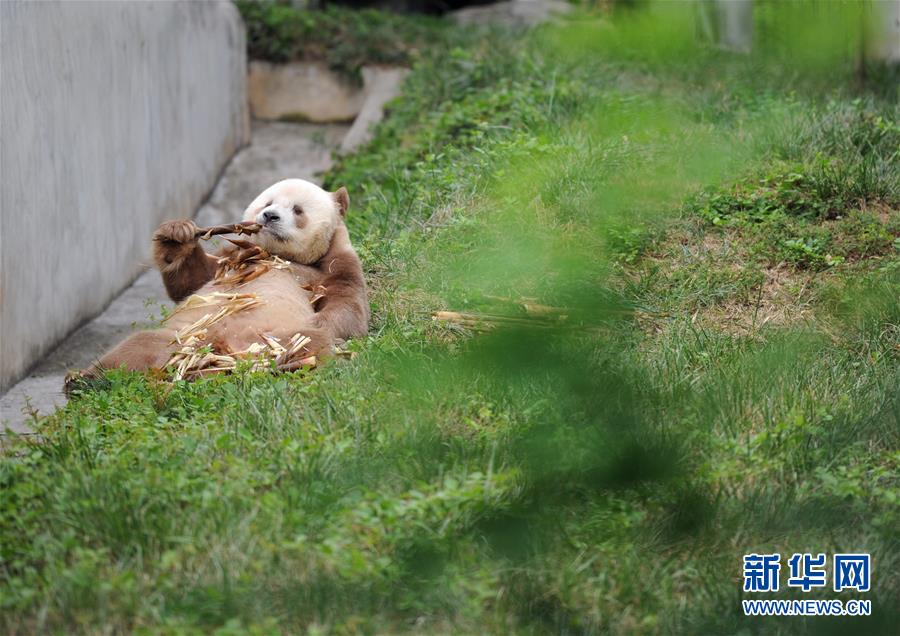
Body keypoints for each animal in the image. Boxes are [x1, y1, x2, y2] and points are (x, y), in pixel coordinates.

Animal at [69, 178, 368, 386]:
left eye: (298, 210)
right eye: (267, 202)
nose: (269, 216)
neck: (275, 255)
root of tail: (216, 351)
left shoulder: (332, 265)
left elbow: (347, 305)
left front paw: (325, 321)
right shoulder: (232, 259)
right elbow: (191, 281)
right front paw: (176, 235)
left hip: (271, 337)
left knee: (309, 343)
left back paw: (286, 365)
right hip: (181, 336)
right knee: (135, 348)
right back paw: (84, 382)